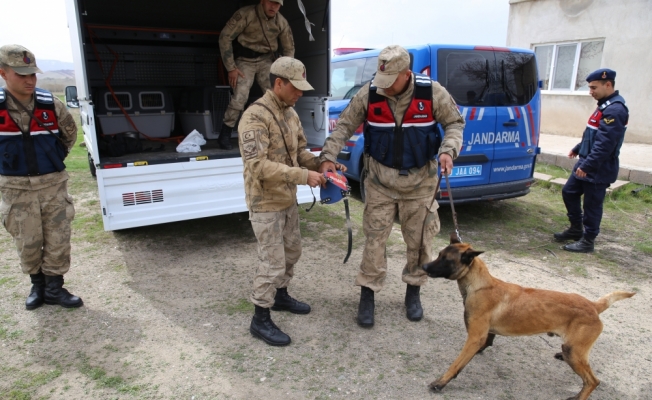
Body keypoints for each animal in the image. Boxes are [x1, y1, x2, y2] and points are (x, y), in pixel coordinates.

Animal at [422, 239, 636, 398]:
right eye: (439, 254)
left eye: (445, 259)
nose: (424, 266)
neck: (479, 284)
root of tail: (593, 305)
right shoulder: (485, 334)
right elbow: (486, 343)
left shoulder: (474, 337)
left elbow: (457, 363)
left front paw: (441, 382)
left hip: (573, 352)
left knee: (593, 381)